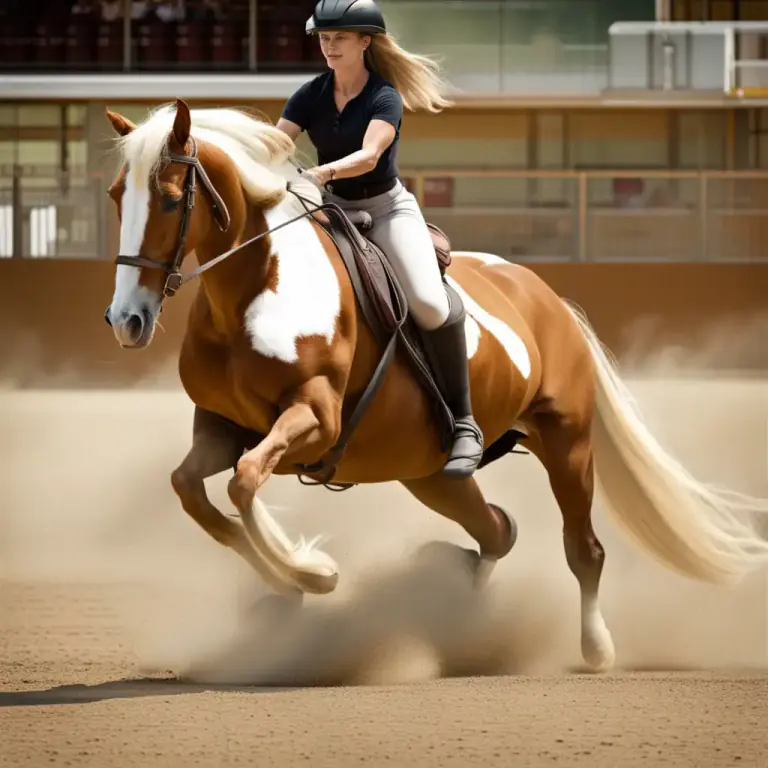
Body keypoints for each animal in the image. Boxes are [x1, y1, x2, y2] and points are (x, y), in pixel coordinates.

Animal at [103, 98, 768, 672]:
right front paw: (289, 583)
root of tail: (548, 299)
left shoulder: (314, 417)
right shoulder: (222, 427)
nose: (126, 320)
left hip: (567, 442)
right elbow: (193, 488)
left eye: (169, 200)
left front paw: (311, 572)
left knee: (583, 549)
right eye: (115, 195)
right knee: (498, 528)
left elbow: (242, 483)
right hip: (429, 474)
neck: (257, 287)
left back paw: (596, 648)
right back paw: (460, 607)